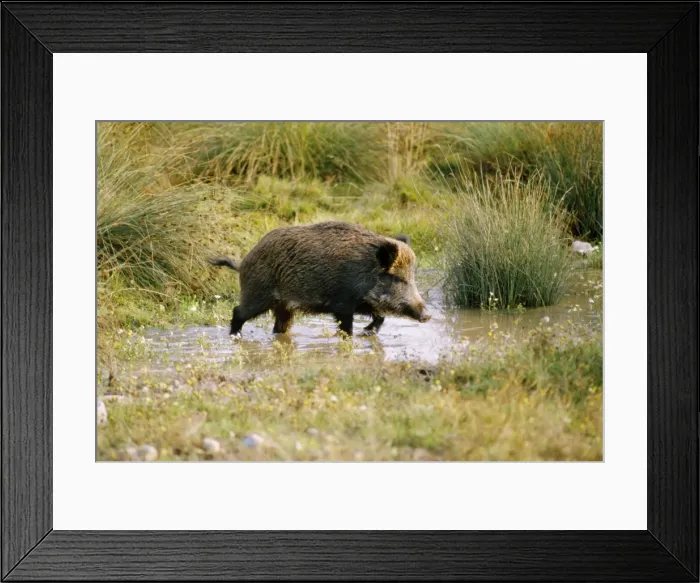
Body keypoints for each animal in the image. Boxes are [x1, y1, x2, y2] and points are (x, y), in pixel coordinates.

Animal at [210, 221, 431, 336]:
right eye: (396, 278)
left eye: (412, 277)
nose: (427, 316)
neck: (364, 270)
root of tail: (243, 262)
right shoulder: (342, 304)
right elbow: (346, 328)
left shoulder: (362, 303)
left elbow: (380, 316)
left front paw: (367, 332)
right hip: (258, 293)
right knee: (238, 311)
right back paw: (235, 336)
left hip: (284, 306)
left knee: (280, 326)